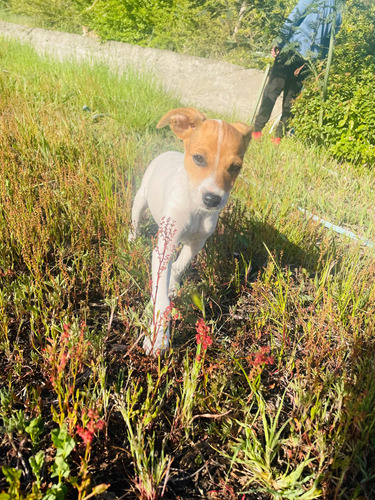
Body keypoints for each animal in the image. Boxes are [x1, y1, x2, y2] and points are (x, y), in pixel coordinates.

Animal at [129, 107, 253, 354]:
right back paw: (131, 237)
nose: (212, 199)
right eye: (198, 158)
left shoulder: (196, 243)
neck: (195, 209)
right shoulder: (164, 249)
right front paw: (158, 337)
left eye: (235, 168)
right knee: (135, 219)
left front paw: (173, 285)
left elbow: (180, 266)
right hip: (141, 199)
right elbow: (161, 298)